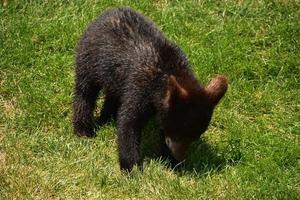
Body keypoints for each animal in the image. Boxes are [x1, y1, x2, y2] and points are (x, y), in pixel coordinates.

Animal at [72, 7, 227, 171]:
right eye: (178, 134)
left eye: (194, 137)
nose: (179, 157)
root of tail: (107, 12)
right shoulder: (140, 87)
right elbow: (128, 123)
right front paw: (132, 166)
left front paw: (170, 160)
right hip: (88, 60)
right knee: (85, 92)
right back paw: (83, 129)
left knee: (113, 94)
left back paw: (106, 118)